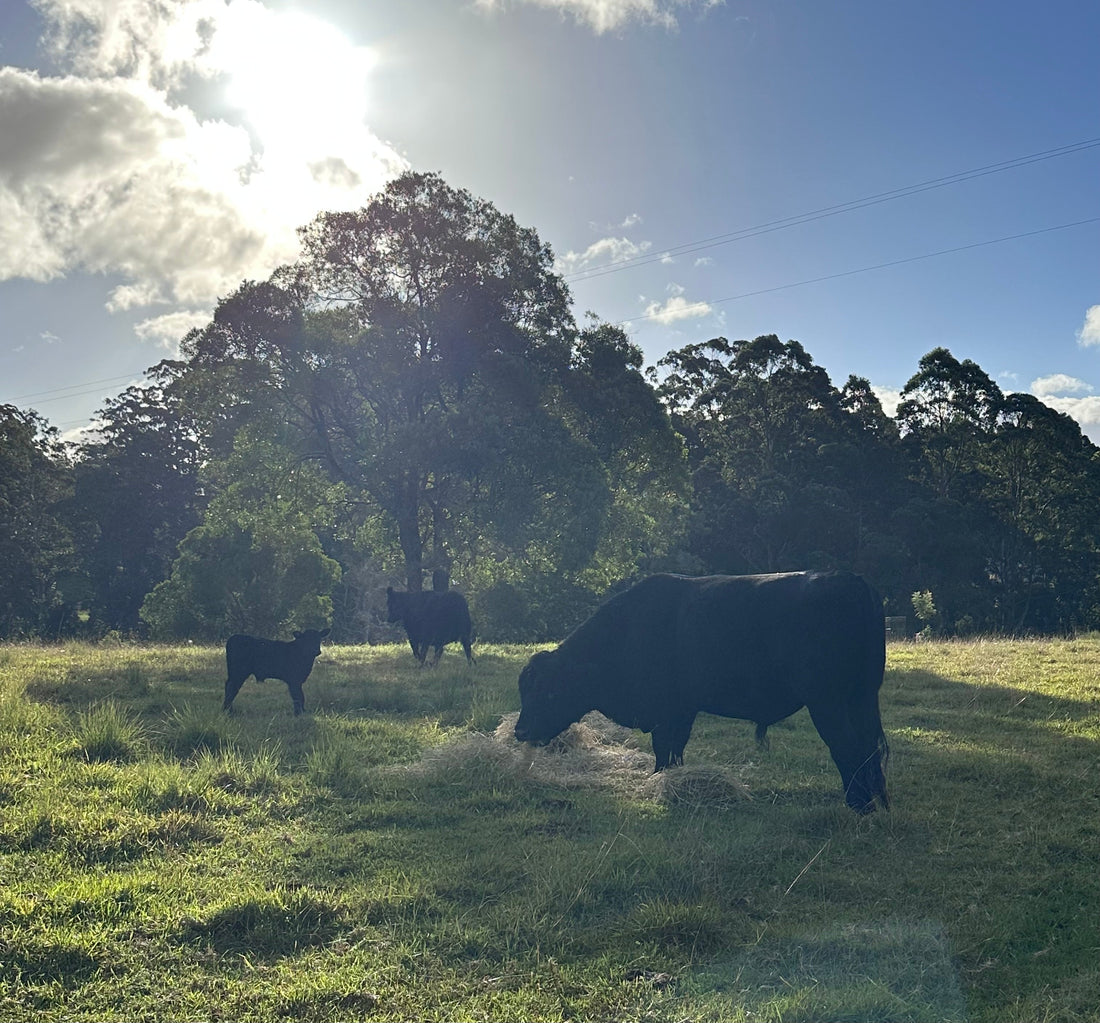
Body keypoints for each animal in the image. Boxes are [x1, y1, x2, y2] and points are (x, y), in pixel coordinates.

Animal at [514, 572, 889, 814]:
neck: (628, 631)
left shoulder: (666, 713)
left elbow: (664, 750)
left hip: (828, 703)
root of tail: (850, 580)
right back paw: (874, 803)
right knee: (868, 749)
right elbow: (674, 751)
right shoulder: (682, 710)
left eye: (546, 691)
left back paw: (858, 806)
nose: (520, 731)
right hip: (861, 698)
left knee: (848, 747)